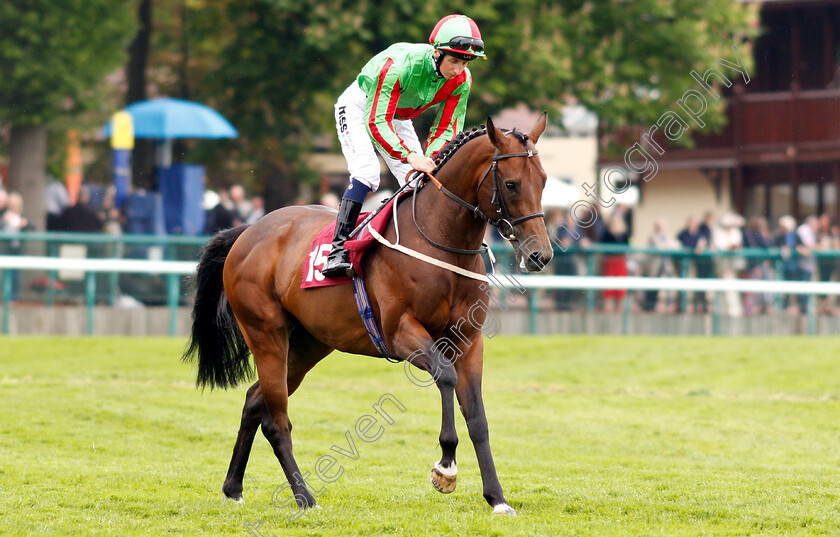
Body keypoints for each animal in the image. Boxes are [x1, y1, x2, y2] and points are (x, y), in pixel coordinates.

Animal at [180, 113, 556, 516]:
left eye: (544, 180)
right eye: (512, 184)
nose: (540, 255)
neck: (441, 242)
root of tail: (249, 231)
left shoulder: (468, 341)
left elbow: (478, 417)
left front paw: (497, 498)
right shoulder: (401, 332)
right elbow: (446, 376)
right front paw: (445, 468)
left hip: (310, 343)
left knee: (254, 401)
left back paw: (233, 487)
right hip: (265, 334)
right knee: (275, 420)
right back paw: (305, 498)